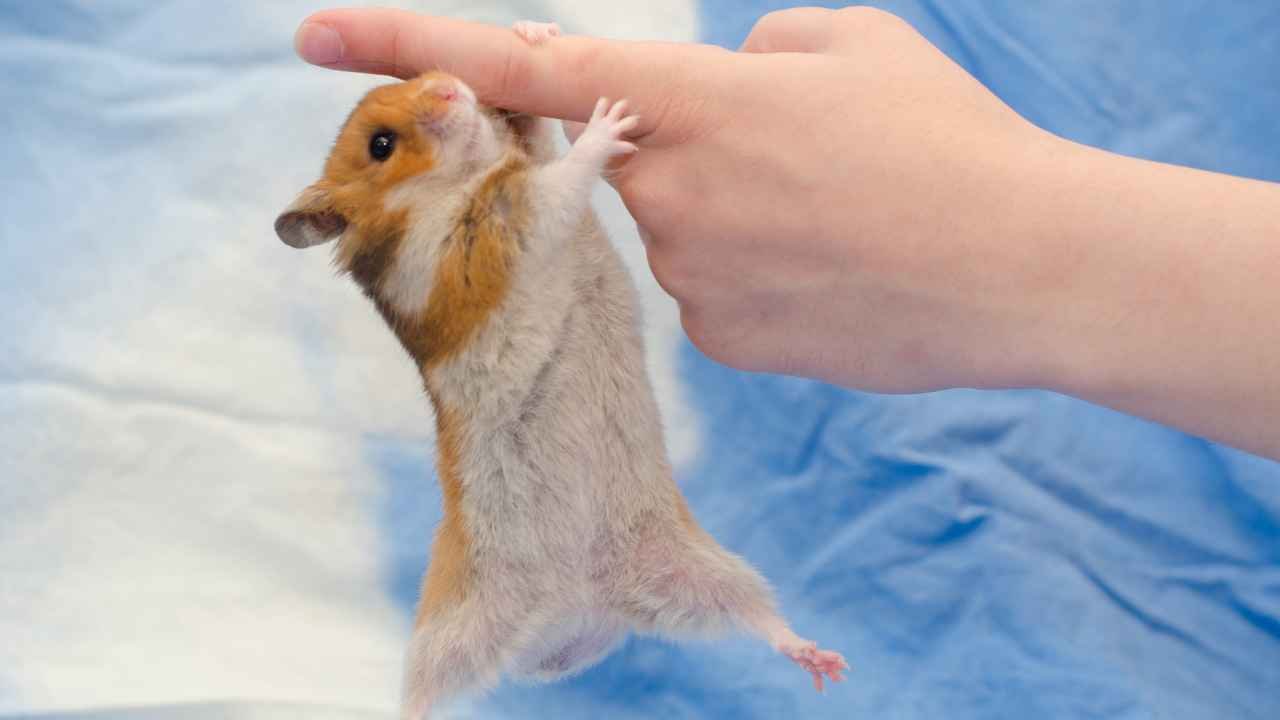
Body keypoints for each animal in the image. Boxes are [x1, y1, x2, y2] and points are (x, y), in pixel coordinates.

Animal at [275, 20, 847, 720]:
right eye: (379, 145)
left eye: (413, 80)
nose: (449, 86)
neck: (457, 180)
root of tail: (569, 626)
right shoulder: (504, 226)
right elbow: (562, 178)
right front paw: (610, 119)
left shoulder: (526, 172)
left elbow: (542, 136)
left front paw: (532, 33)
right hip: (450, 630)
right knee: (422, 693)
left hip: (697, 570)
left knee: (758, 619)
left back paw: (823, 662)